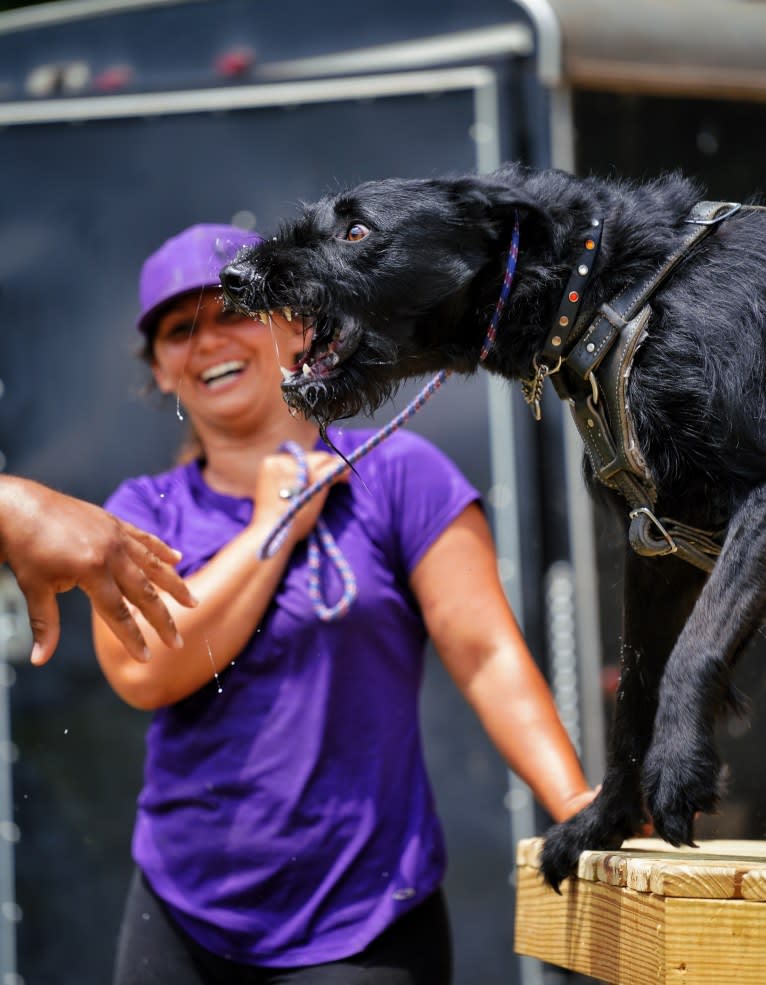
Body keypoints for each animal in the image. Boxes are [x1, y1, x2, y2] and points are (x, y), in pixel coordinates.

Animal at [220, 165, 766, 888]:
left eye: (357, 232)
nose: (233, 275)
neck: (609, 286)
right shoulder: (660, 543)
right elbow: (635, 690)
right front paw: (601, 824)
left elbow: (694, 645)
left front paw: (677, 771)